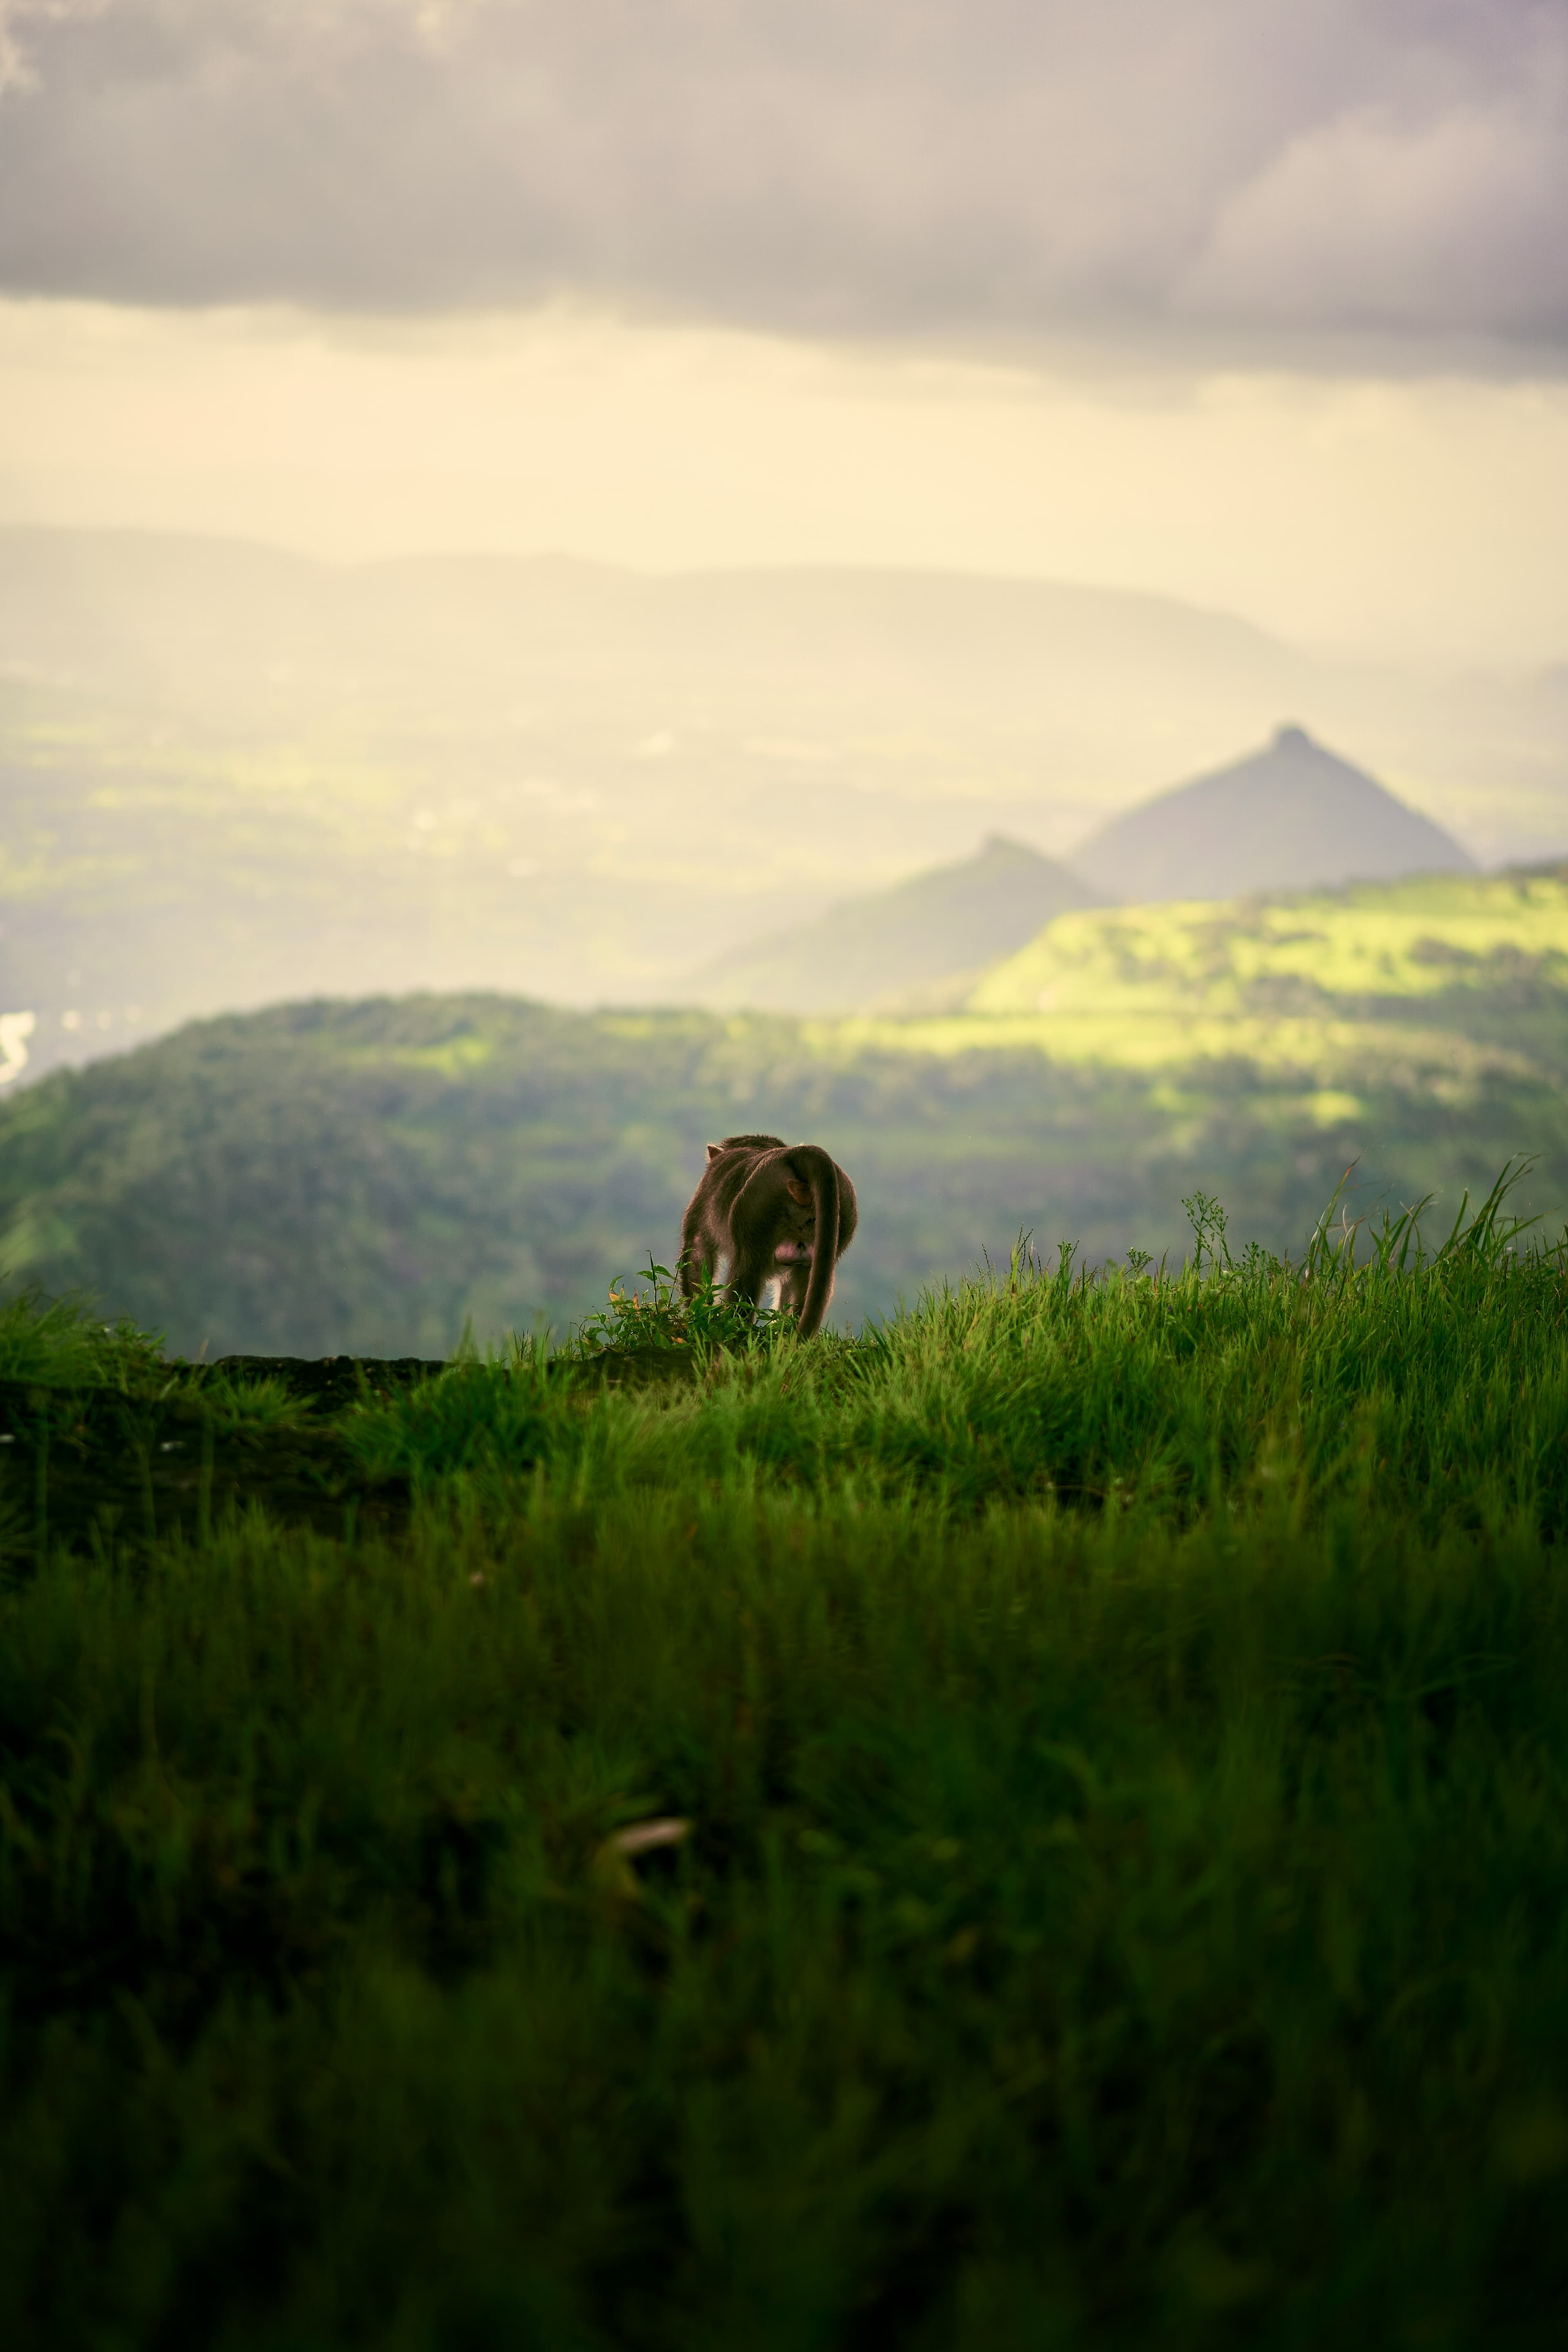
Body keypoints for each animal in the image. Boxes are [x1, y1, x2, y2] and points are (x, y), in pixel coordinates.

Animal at [679, 1133, 858, 1340]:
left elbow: (697, 1250)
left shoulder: (705, 1194)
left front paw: (698, 1318)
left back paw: (733, 1328)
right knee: (805, 1275)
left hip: (757, 1202)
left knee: (747, 1266)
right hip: (844, 1206)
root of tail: (794, 1154)